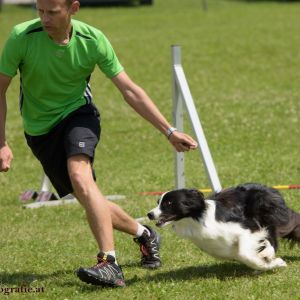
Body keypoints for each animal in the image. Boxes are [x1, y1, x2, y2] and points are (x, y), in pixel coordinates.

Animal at [148, 184, 300, 270]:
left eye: (168, 203)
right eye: (158, 202)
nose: (149, 214)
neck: (196, 219)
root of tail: (268, 189)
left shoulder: (246, 229)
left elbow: (245, 254)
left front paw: (276, 263)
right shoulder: (223, 248)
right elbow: (245, 256)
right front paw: (267, 264)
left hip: (263, 210)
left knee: (273, 236)